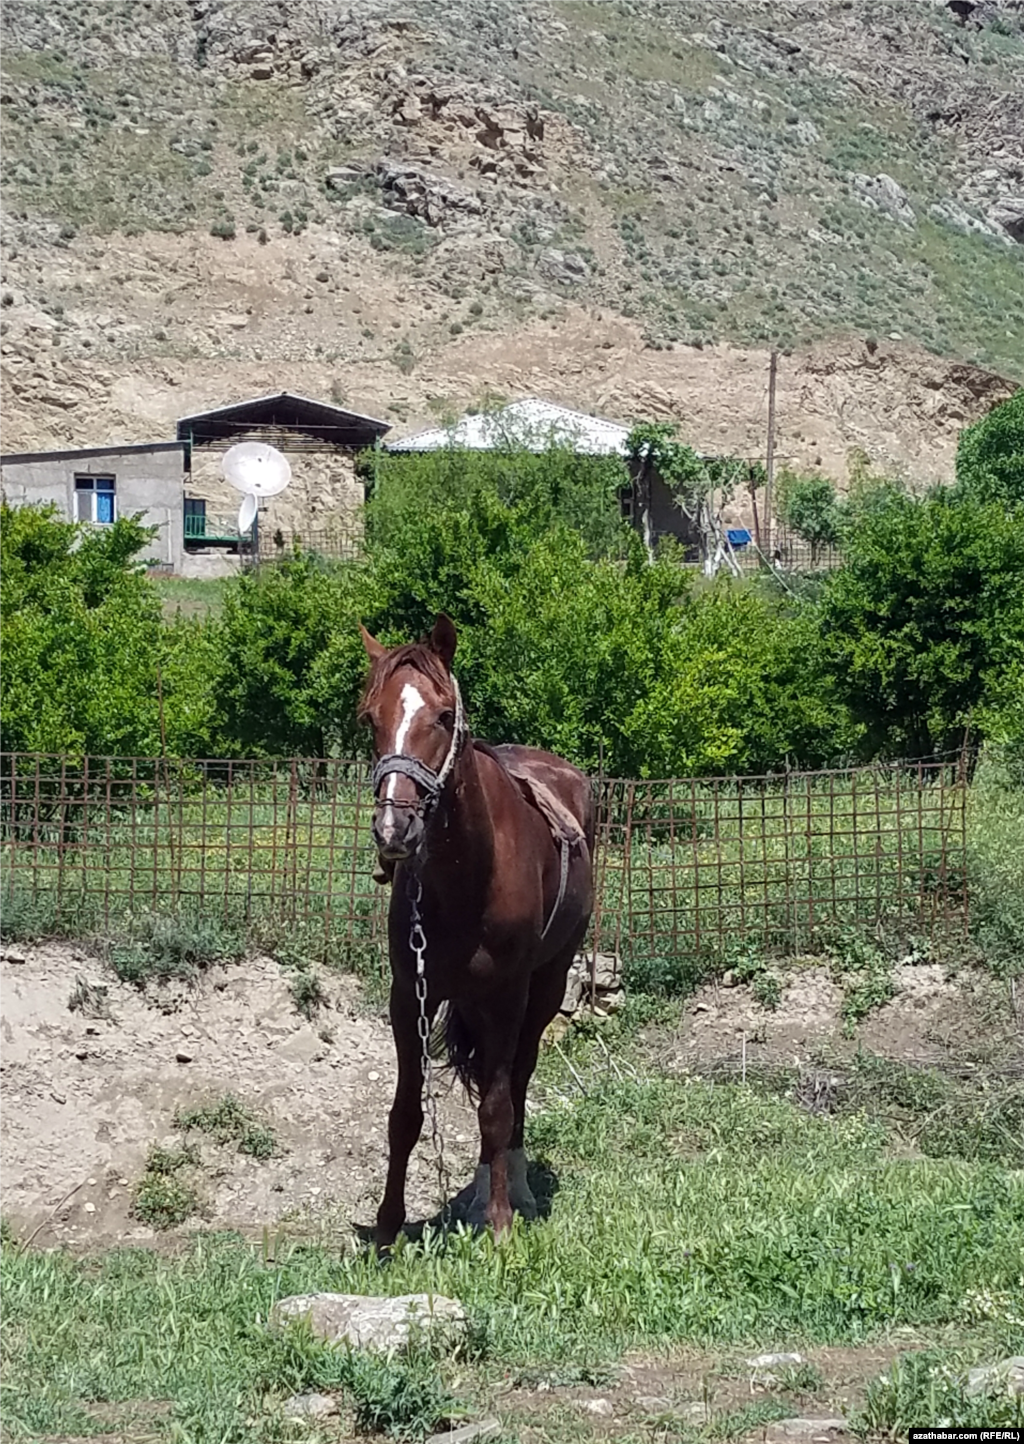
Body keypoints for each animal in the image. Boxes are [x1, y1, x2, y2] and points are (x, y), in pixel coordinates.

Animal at [359, 609, 595, 1241]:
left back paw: (512, 1187)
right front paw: (388, 1229)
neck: (468, 874)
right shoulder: (408, 995)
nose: (393, 830)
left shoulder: (508, 996)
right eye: (370, 718)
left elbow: (497, 1105)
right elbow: (404, 1113)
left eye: (443, 715)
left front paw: (502, 1224)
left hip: (547, 985)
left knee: (517, 1081)